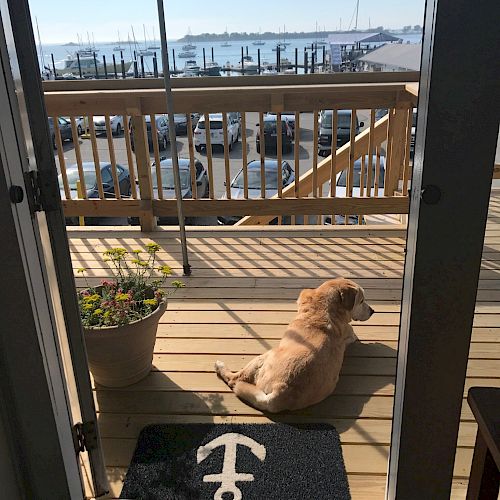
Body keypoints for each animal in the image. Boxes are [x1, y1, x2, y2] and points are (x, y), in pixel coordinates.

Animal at [213, 280, 374, 412]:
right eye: (362, 301)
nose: (373, 311)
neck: (326, 308)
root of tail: (281, 392)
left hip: (264, 356)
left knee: (234, 379)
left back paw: (219, 365)